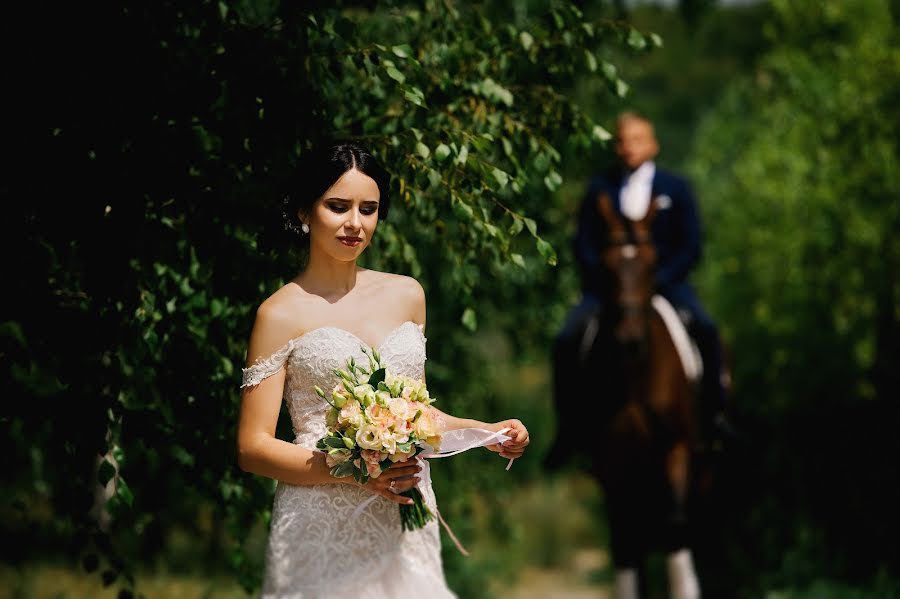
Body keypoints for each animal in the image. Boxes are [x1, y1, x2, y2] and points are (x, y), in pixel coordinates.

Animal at [580, 195, 708, 599]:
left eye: (652, 264)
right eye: (607, 267)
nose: (629, 340)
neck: (634, 377)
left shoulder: (677, 449)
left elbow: (676, 530)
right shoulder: (612, 464)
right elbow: (625, 545)